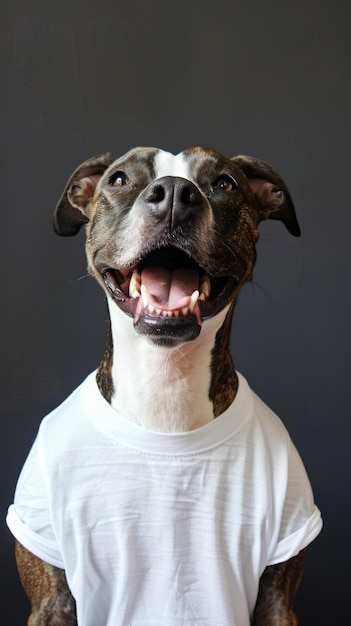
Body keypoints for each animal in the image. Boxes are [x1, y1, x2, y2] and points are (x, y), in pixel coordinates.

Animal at [8, 145, 324, 620]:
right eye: (120, 179)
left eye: (225, 183)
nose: (175, 192)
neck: (166, 378)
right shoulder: (49, 594)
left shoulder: (278, 588)